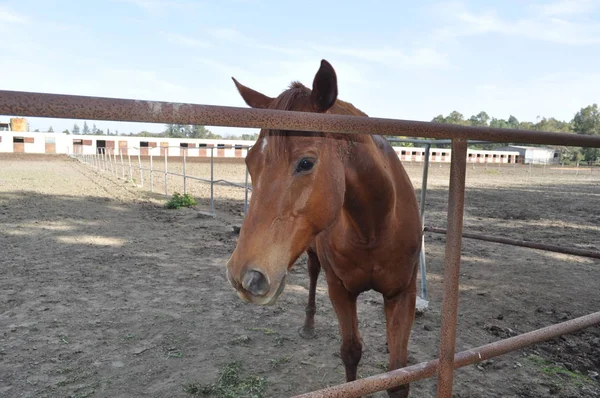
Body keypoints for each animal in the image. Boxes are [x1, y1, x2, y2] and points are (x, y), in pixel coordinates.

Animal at [225, 59, 422, 398]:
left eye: (306, 163)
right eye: (250, 161)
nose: (244, 276)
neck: (373, 228)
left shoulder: (402, 294)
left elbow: (398, 373)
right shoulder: (340, 290)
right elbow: (351, 352)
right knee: (312, 275)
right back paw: (308, 326)